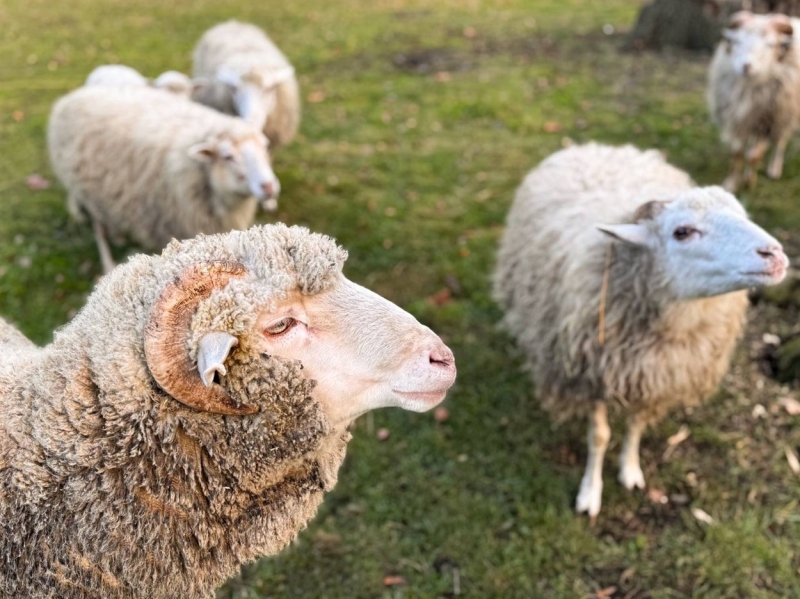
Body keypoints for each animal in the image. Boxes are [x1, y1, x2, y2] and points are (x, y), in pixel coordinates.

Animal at [49, 84, 282, 274]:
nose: (269, 187)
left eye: (265, 147)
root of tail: (72, 96)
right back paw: (108, 262)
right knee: (99, 229)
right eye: (227, 156)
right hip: (86, 190)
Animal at [494, 142, 788, 520]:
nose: (775, 255)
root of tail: (595, 146)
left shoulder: (653, 375)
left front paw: (630, 470)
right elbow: (600, 436)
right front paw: (590, 492)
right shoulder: (590, 374)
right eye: (682, 232)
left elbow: (636, 425)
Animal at [708, 10, 800, 191]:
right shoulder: (739, 121)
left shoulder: (769, 121)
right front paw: (731, 183)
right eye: (737, 41)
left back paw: (774, 168)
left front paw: (749, 182)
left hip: (786, 113)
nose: (746, 66)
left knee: (781, 140)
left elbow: (754, 156)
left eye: (770, 44)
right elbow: (737, 153)